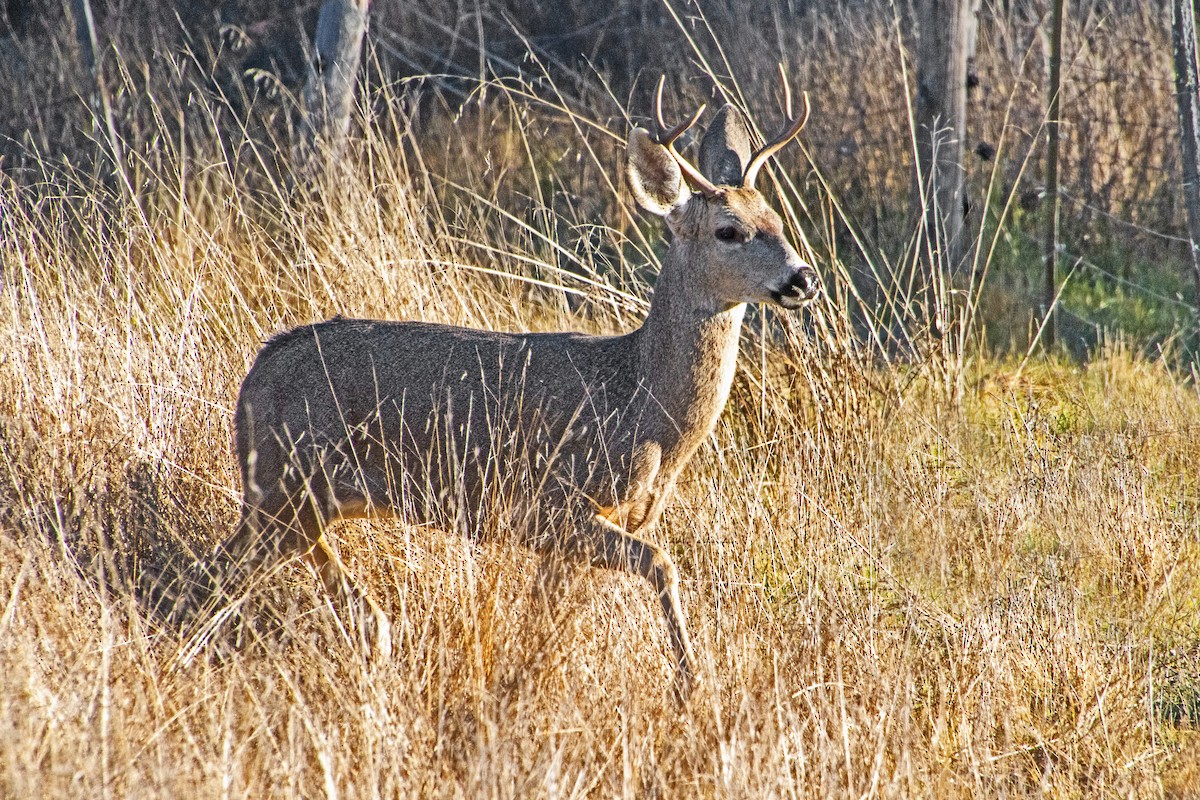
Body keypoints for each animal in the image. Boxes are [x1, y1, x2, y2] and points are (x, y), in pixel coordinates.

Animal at [209, 77, 819, 704]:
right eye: (730, 231)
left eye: (776, 218)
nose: (803, 279)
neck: (643, 403)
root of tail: (256, 374)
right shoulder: (555, 503)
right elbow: (661, 564)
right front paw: (690, 680)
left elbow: (550, 612)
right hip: (283, 488)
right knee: (224, 575)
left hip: (302, 501)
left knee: (306, 592)